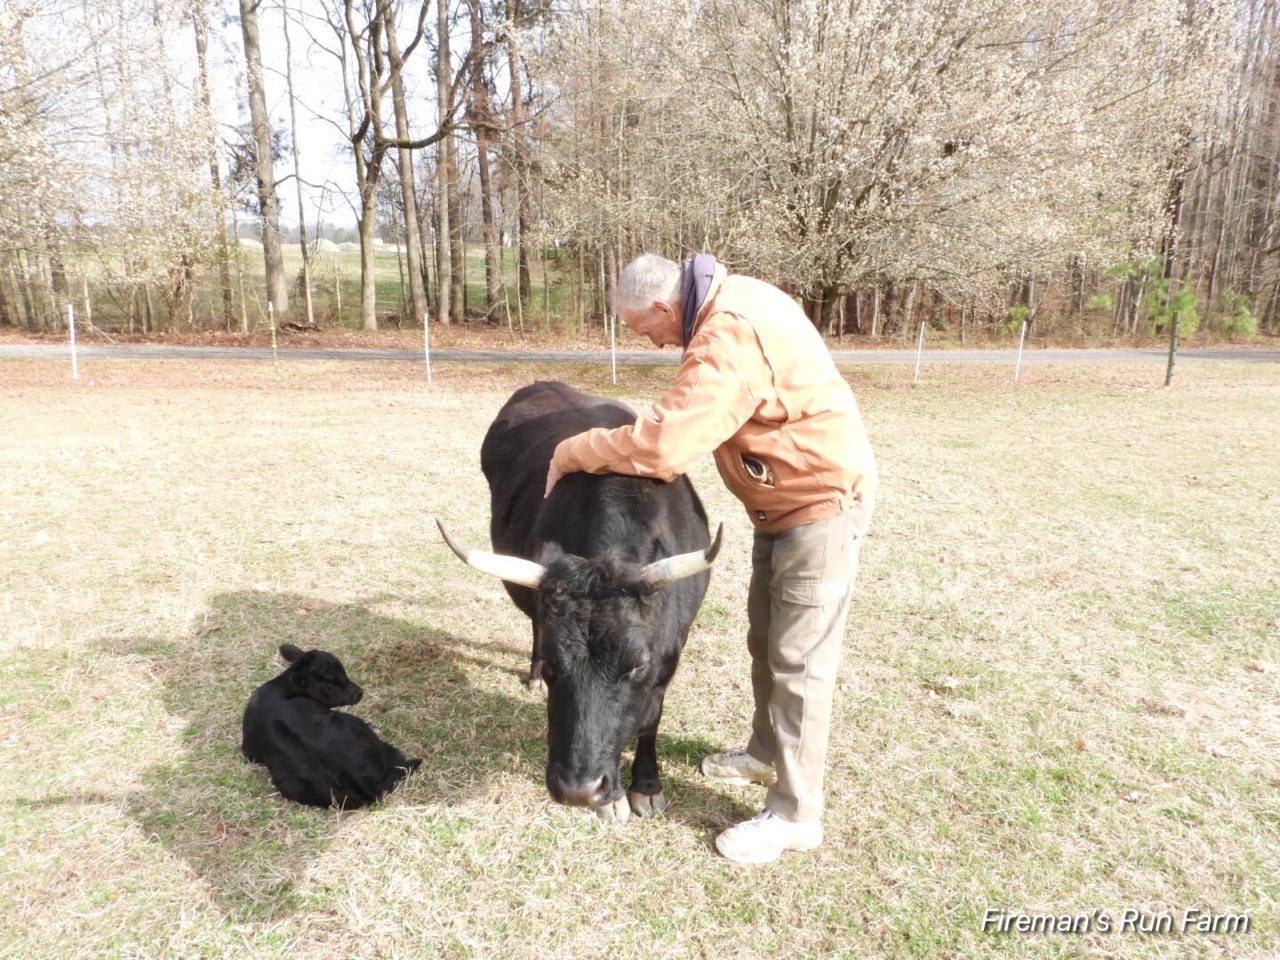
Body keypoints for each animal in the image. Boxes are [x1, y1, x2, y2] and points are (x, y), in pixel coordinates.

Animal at [437, 380, 721, 824]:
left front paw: (646, 786)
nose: (579, 790)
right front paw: (616, 798)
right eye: (555, 663)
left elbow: (650, 717)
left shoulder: (669, 654)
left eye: (635, 664)